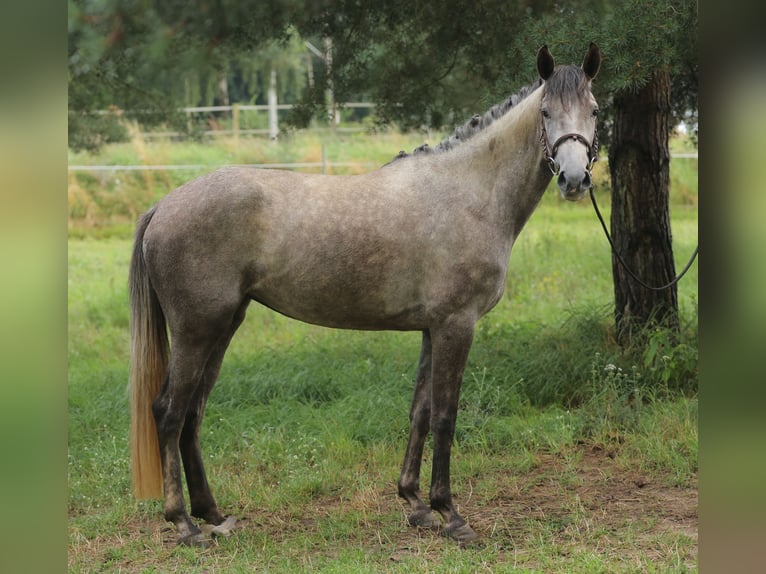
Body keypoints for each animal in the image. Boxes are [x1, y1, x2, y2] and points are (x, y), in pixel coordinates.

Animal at [129, 42, 604, 548]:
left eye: (594, 110)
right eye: (546, 111)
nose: (574, 179)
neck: (469, 192)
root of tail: (164, 206)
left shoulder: (432, 329)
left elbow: (420, 411)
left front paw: (415, 504)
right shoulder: (456, 325)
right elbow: (445, 416)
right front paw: (450, 514)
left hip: (221, 328)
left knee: (193, 416)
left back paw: (213, 515)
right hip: (196, 332)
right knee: (169, 413)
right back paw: (183, 523)